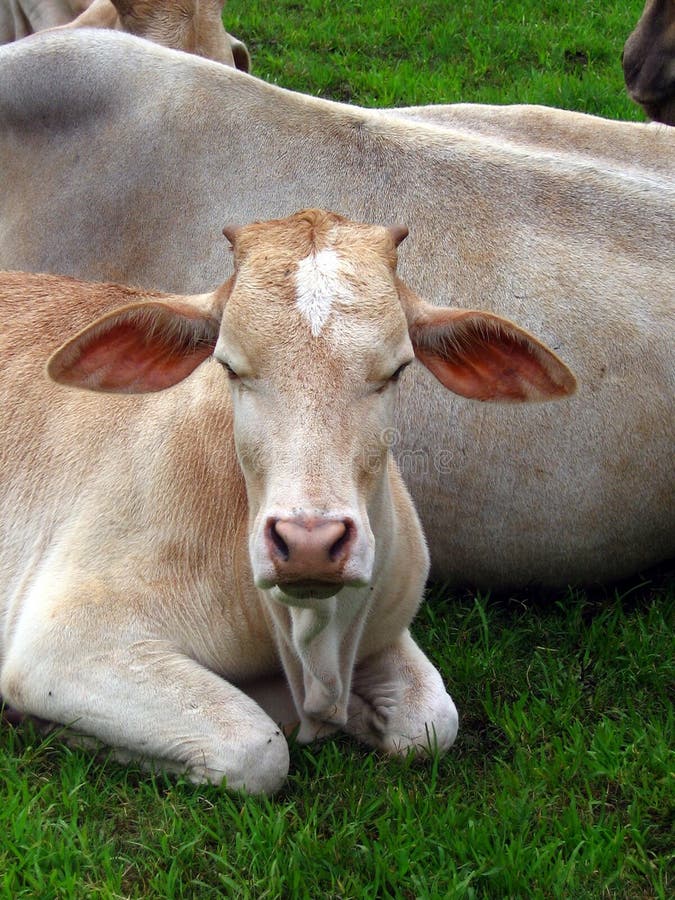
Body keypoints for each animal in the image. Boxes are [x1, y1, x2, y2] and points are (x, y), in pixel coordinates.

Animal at [0, 209, 577, 790]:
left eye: (396, 370)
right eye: (230, 366)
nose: (308, 545)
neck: (311, 643)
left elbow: (431, 723)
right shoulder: (65, 646)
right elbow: (259, 750)